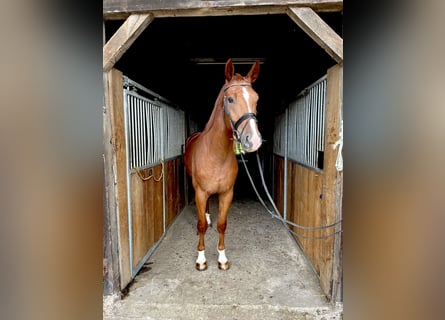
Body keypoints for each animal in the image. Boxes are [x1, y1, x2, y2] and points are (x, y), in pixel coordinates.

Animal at [183, 59, 260, 270]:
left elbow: (222, 224)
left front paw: (222, 258)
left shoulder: (227, 193)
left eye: (256, 99)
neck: (217, 154)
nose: (254, 140)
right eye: (230, 99)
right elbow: (201, 225)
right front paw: (201, 259)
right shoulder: (200, 191)